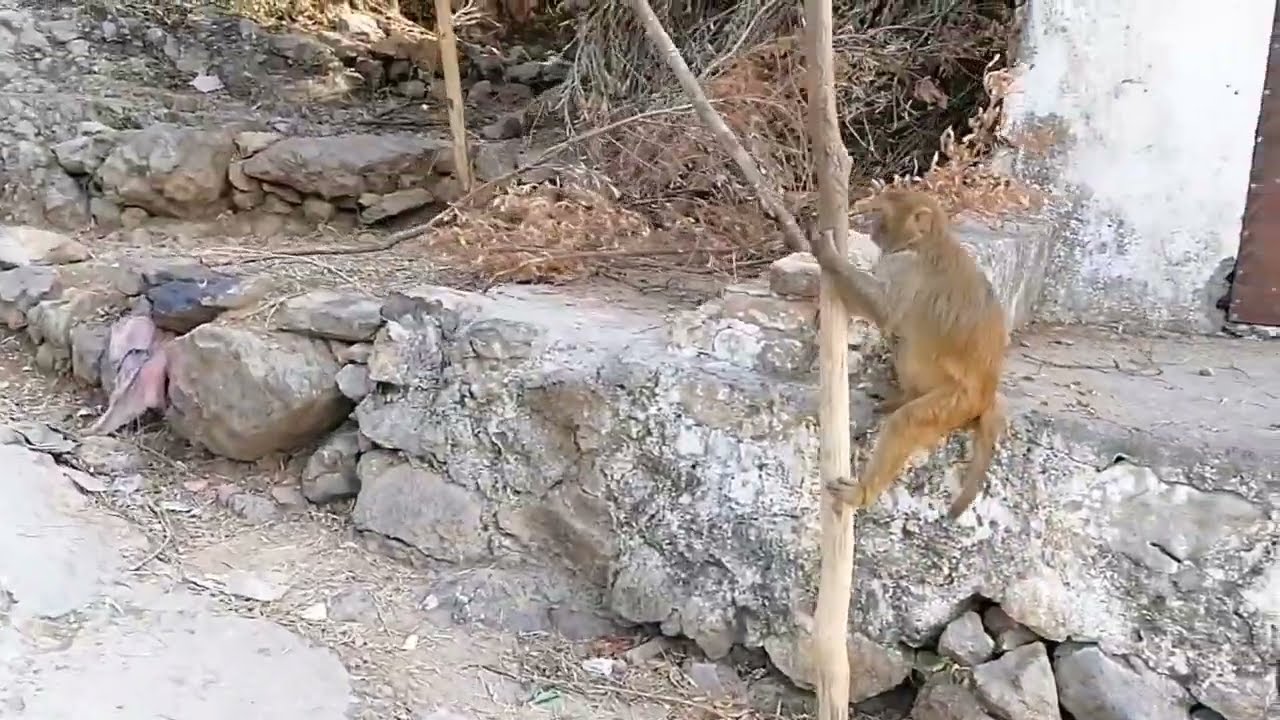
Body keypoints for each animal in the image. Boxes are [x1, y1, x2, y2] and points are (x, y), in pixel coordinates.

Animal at [808, 187, 1008, 519]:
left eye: (883, 212)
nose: (873, 225)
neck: (926, 240)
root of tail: (987, 393)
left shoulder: (904, 266)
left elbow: (884, 311)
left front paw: (828, 255)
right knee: (902, 340)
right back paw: (905, 396)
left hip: (956, 402)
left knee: (908, 421)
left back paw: (862, 492)